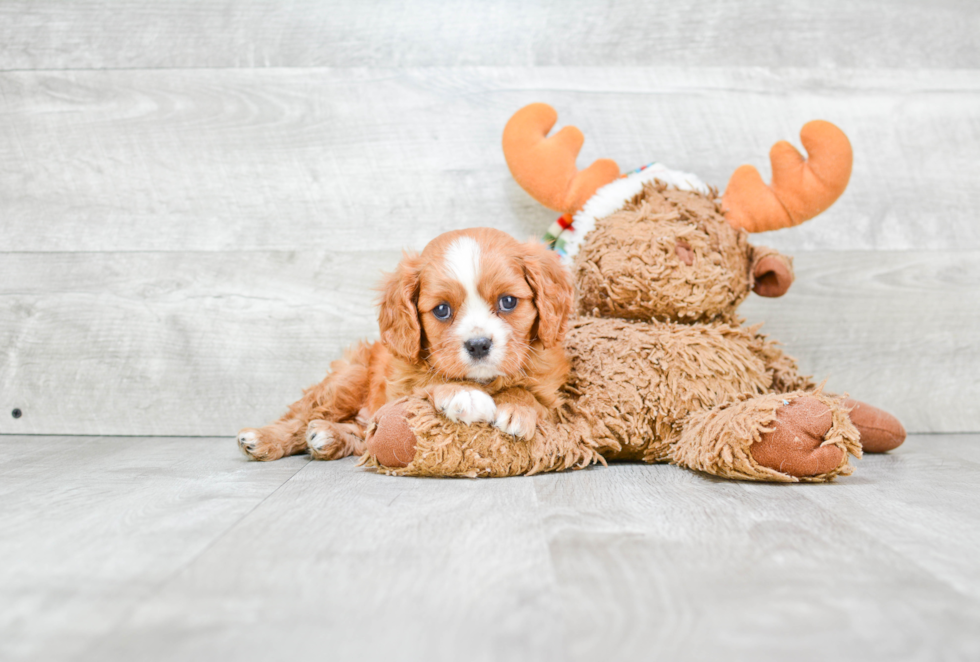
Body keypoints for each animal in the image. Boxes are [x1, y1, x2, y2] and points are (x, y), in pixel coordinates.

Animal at [238, 228, 576, 462]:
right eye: (442, 310)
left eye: (508, 302)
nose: (479, 345)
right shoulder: (401, 384)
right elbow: (429, 380)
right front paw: (464, 394)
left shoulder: (551, 396)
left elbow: (531, 395)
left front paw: (517, 408)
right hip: (346, 379)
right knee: (300, 417)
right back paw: (264, 438)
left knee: (363, 434)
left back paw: (328, 437)